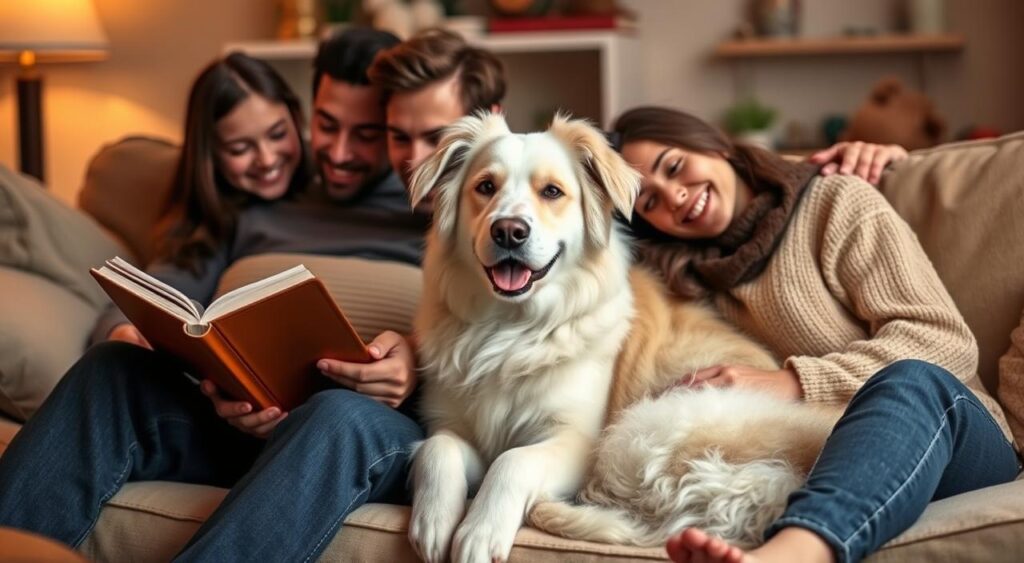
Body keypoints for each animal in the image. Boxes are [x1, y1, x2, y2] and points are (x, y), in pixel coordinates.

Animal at [405, 111, 839, 563]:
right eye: (485, 187)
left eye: (552, 191)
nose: (508, 231)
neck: (511, 327)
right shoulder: (452, 426)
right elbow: (437, 449)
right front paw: (434, 521)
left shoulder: (576, 442)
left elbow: (512, 460)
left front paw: (479, 531)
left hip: (646, 428)